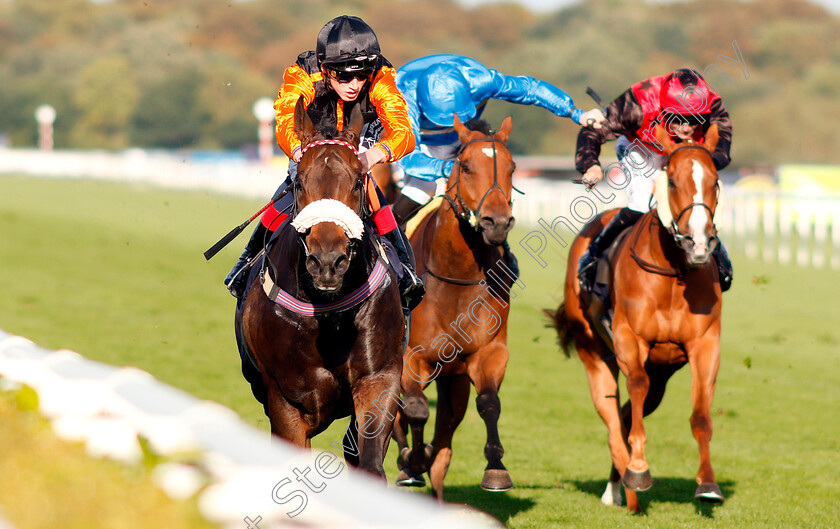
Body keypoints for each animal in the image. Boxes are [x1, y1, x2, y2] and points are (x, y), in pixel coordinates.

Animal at [235, 97, 406, 476]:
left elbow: (370, 463)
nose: (328, 261)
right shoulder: (285, 400)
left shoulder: (379, 378)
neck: (328, 317)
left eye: (358, 182)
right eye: (299, 184)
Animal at [392, 114, 520, 500]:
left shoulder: (487, 353)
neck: (455, 277)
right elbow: (415, 409)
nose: (497, 222)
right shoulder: (411, 357)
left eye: (512, 167)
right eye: (465, 166)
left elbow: (489, 403)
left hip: (454, 381)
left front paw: (496, 469)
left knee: (446, 433)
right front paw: (412, 460)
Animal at [552, 125, 728, 512]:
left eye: (715, 181)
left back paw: (618, 484)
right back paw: (624, 485)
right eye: (672, 181)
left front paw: (708, 484)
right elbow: (634, 389)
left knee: (625, 413)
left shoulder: (705, 344)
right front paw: (638, 470)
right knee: (612, 417)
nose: (698, 243)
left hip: (663, 373)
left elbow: (702, 415)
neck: (674, 274)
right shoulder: (629, 340)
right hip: (594, 353)